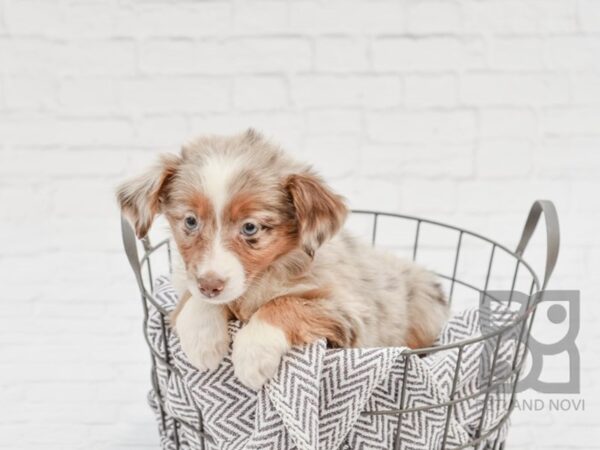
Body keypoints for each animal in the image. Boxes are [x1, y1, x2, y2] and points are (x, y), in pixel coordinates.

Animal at [117, 130, 448, 390]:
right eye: (190, 221)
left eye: (250, 227)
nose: (210, 285)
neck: (262, 277)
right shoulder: (191, 279)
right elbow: (193, 296)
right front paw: (202, 338)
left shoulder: (350, 313)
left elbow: (284, 303)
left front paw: (252, 354)